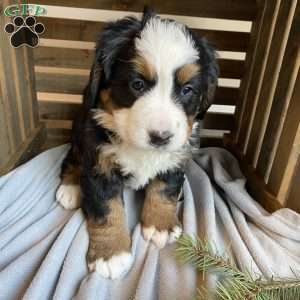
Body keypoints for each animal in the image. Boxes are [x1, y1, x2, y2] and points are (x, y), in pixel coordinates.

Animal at [56, 8, 218, 278]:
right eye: (137, 84)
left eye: (187, 90)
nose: (161, 137)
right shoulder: (99, 162)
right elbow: (107, 209)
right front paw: (111, 254)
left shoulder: (176, 154)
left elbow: (164, 189)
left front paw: (161, 224)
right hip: (78, 133)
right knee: (71, 158)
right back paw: (70, 188)